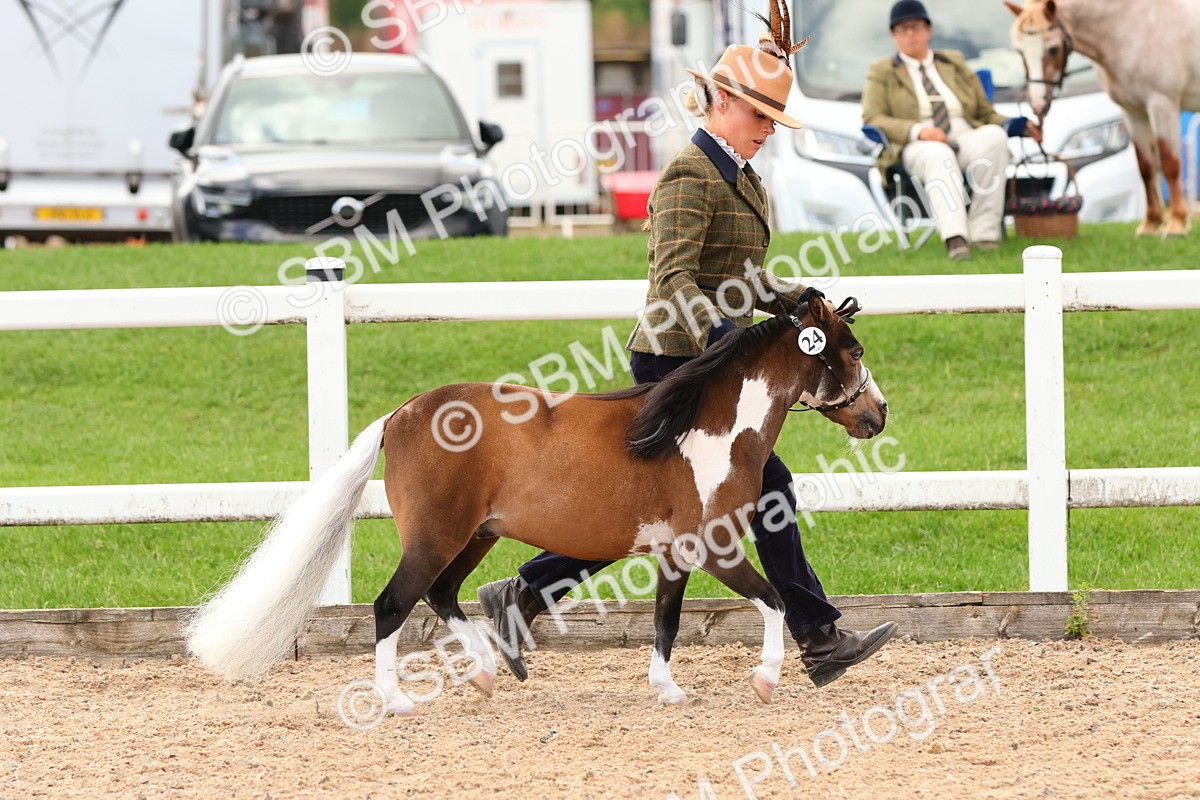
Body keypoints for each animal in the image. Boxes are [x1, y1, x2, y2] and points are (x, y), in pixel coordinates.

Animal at [185, 291, 887, 714]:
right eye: (853, 352)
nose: (878, 415)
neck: (704, 431)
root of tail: (399, 415)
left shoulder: (671, 554)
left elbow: (666, 621)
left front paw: (667, 689)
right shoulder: (710, 546)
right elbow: (772, 599)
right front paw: (767, 678)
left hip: (477, 536)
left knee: (444, 595)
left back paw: (490, 669)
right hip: (436, 537)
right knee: (392, 605)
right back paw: (398, 701)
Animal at [1006, 0, 1200, 237]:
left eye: (1053, 49)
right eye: (1020, 51)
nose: (1038, 102)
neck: (1133, 28)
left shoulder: (1162, 105)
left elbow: (1169, 164)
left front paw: (1177, 225)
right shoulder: (1133, 112)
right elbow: (1146, 168)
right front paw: (1151, 225)